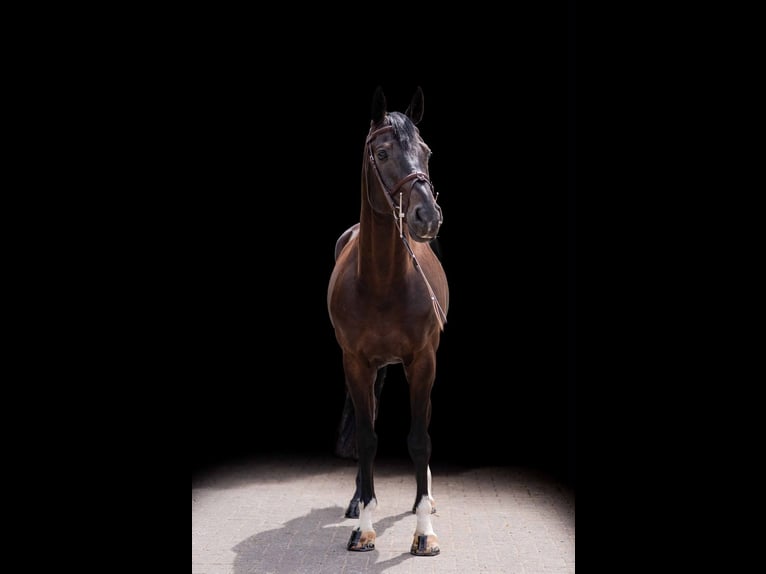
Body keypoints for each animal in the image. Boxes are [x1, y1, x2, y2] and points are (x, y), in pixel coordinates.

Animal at [327, 86, 449, 556]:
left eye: (426, 151)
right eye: (381, 153)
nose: (426, 217)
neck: (381, 281)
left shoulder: (424, 360)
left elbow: (419, 439)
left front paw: (424, 532)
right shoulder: (357, 364)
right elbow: (366, 438)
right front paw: (364, 526)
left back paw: (425, 500)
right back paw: (357, 499)